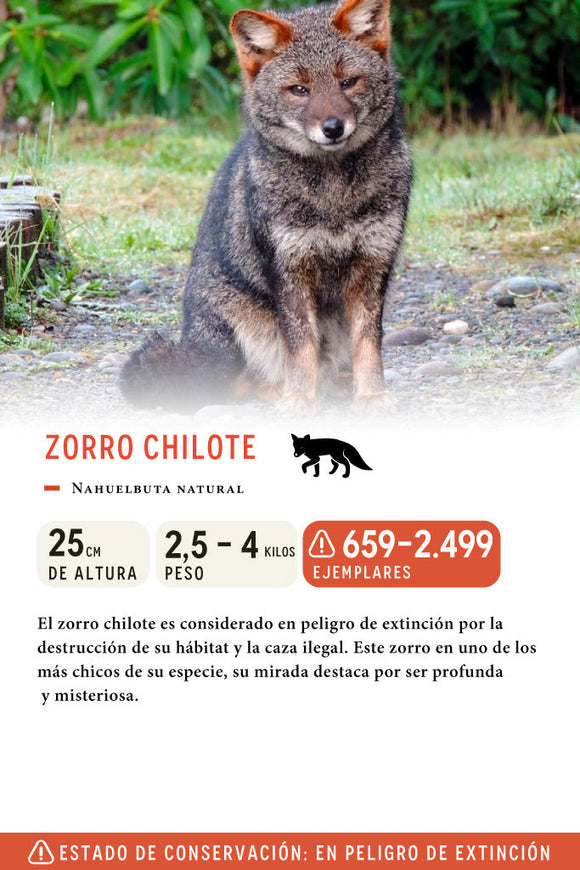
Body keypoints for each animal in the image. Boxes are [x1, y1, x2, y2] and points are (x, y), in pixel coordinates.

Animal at [120, 0, 412, 413]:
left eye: (348, 82)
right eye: (299, 90)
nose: (332, 127)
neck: (333, 198)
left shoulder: (373, 265)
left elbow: (369, 344)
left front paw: (371, 394)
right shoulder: (288, 268)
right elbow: (301, 344)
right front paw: (299, 398)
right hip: (237, 332)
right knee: (226, 387)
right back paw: (278, 389)